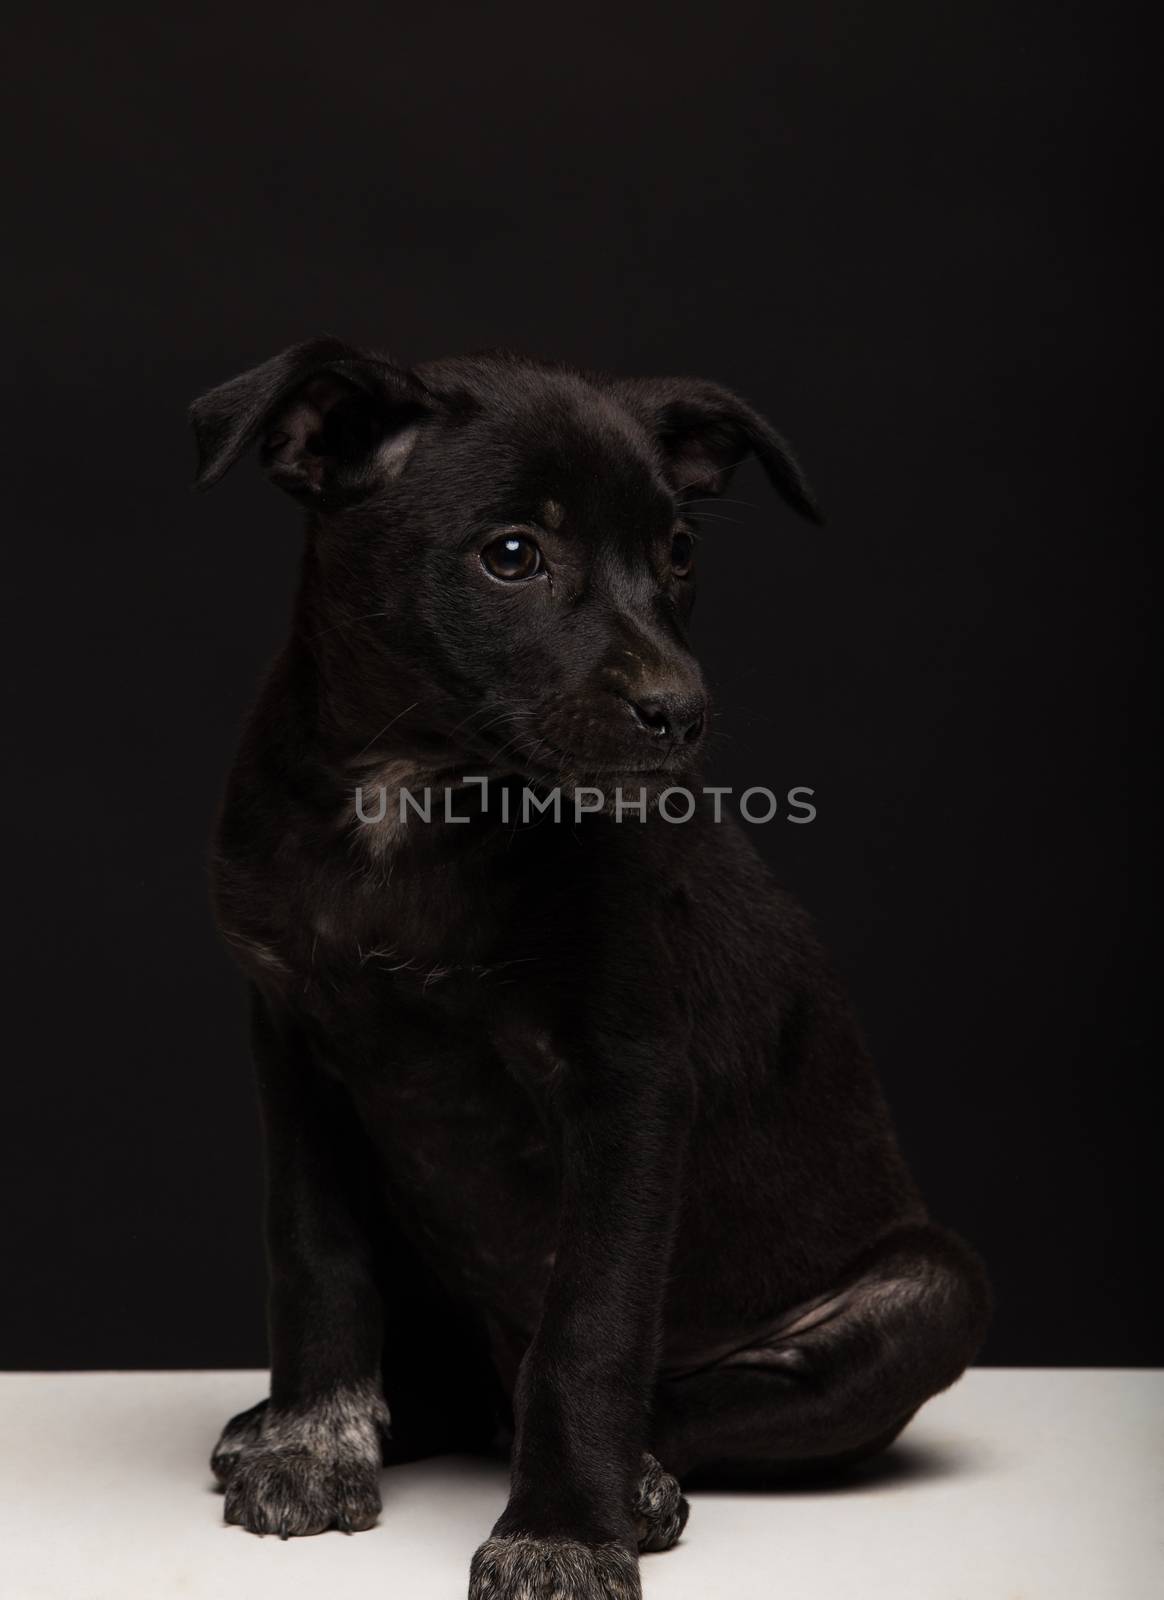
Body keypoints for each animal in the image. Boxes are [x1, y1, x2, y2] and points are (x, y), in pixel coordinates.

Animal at [191, 340, 991, 1600]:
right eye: (513, 554)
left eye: (680, 551)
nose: (681, 713)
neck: (410, 792)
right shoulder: (298, 1046)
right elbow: (313, 1262)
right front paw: (313, 1437)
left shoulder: (629, 1082)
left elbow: (592, 1327)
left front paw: (565, 1527)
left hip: (930, 1291)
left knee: (631, 1395)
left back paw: (641, 1479)